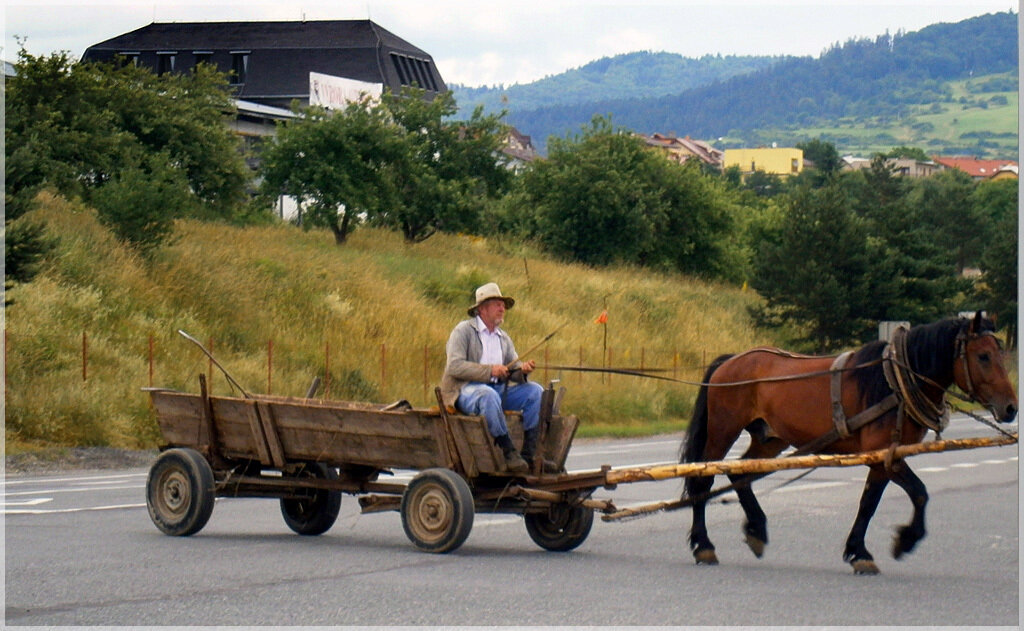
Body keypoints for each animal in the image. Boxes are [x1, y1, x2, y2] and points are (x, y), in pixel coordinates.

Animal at [679, 313, 1015, 573]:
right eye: (983, 356)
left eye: (1000, 354)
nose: (1011, 408)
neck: (893, 381)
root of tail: (730, 360)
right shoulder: (881, 453)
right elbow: (898, 496)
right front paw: (881, 546)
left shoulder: (888, 455)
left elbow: (886, 498)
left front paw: (873, 546)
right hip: (724, 429)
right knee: (703, 478)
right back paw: (704, 545)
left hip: (770, 438)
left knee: (741, 471)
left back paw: (757, 529)